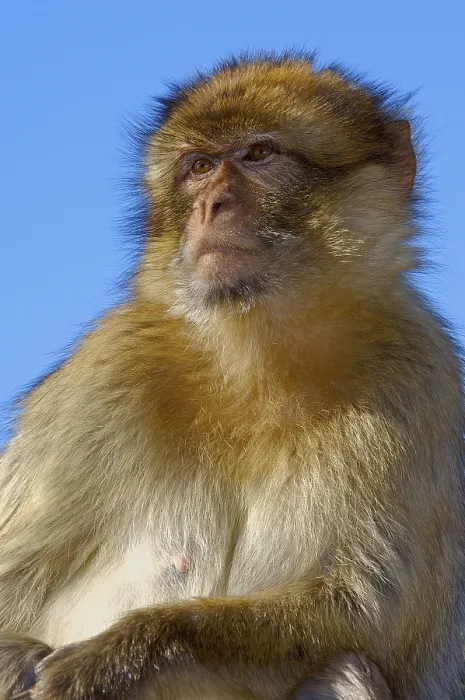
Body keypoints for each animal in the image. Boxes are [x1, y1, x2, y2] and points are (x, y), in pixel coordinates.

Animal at [0, 52, 463, 700]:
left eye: (259, 154)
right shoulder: (100, 379)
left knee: (343, 665)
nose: (210, 205)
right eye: (197, 167)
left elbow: (362, 610)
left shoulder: (418, 377)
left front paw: (112, 659)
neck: (256, 363)